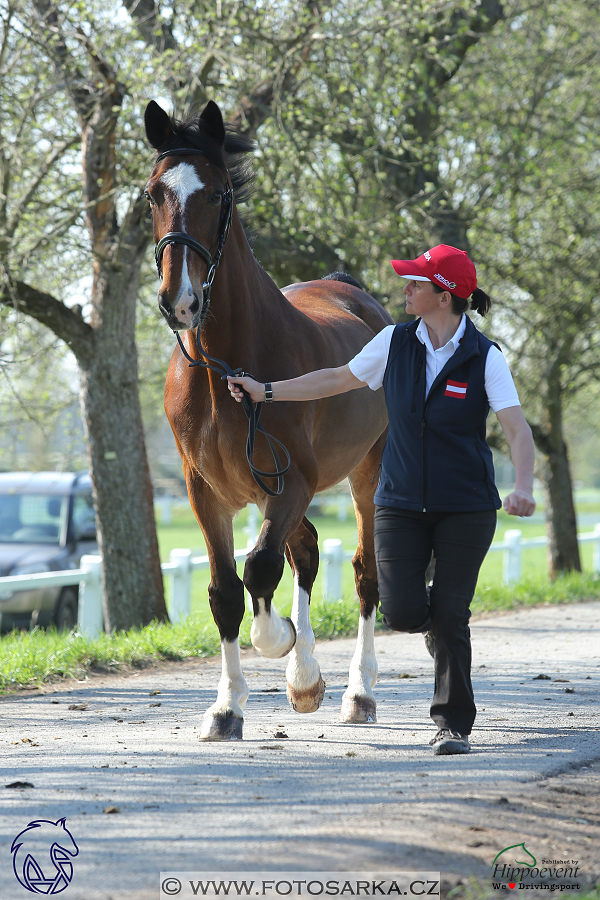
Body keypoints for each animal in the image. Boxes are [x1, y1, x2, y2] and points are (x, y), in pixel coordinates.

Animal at [143, 102, 392, 740]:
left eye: (216, 194)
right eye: (155, 194)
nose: (180, 300)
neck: (225, 370)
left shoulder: (292, 483)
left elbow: (258, 570)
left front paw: (280, 644)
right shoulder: (207, 491)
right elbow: (226, 591)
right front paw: (227, 707)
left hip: (363, 477)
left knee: (362, 574)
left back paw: (356, 692)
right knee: (305, 552)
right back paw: (306, 679)